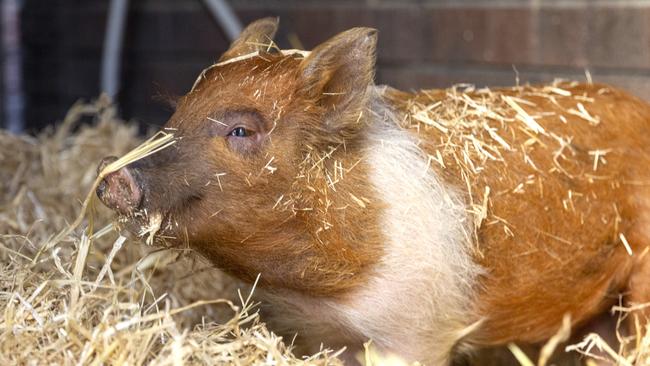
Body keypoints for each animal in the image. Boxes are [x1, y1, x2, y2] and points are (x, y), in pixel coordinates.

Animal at [96, 17, 650, 366]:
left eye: (240, 130)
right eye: (177, 111)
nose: (111, 176)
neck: (322, 293)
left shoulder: (415, 330)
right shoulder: (315, 335)